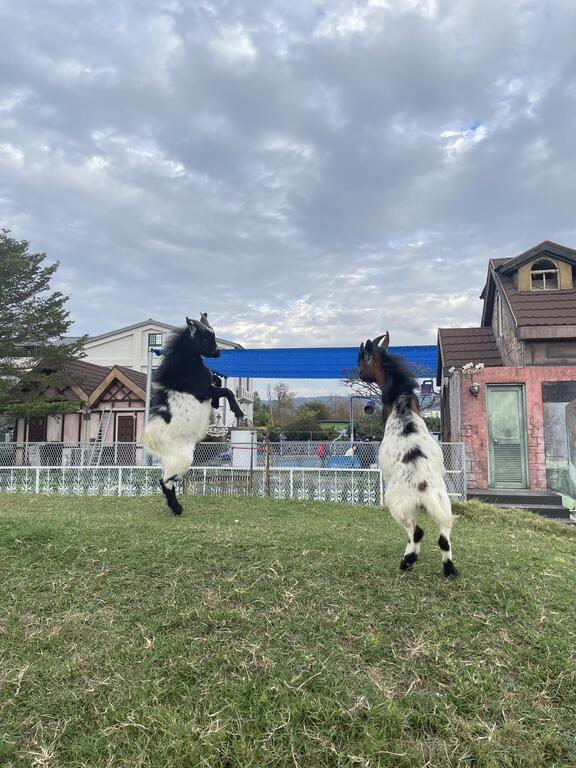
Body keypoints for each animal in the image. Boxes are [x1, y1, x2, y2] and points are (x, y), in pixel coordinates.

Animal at [142, 313, 244, 515]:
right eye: (204, 338)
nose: (218, 352)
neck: (186, 365)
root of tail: (153, 443)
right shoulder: (203, 390)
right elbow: (227, 391)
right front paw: (238, 412)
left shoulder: (209, 386)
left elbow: (218, 380)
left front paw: (216, 404)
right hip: (181, 461)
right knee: (165, 482)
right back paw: (177, 508)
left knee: (165, 481)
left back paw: (175, 508)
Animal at [358, 332, 458, 577]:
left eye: (361, 361)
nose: (359, 374)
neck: (400, 402)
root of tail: (423, 487)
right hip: (443, 504)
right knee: (444, 537)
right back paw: (449, 569)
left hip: (398, 506)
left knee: (416, 531)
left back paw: (407, 562)